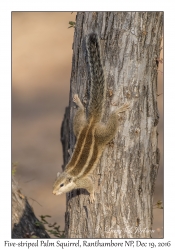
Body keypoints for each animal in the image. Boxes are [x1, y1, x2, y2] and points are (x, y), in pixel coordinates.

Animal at [52, 32, 129, 202]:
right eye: (53, 183)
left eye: (61, 185)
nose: (53, 193)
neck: (71, 175)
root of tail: (91, 124)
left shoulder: (83, 180)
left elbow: (90, 185)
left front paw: (93, 195)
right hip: (78, 125)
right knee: (80, 114)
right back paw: (79, 103)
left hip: (104, 134)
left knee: (112, 123)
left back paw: (117, 110)